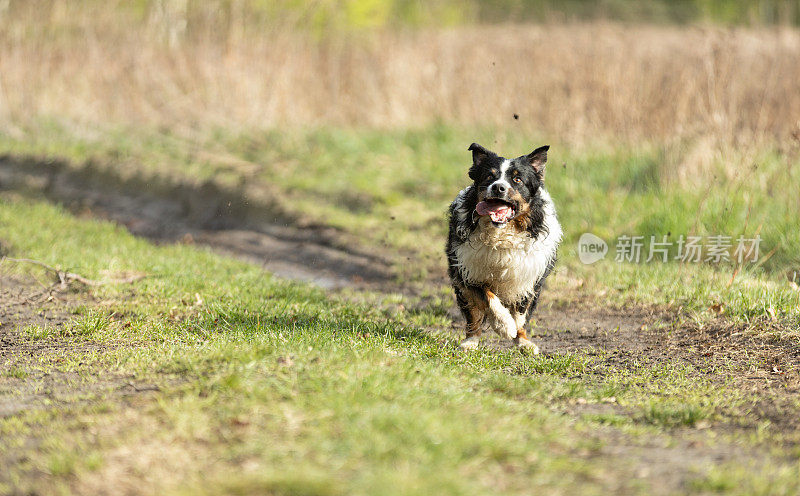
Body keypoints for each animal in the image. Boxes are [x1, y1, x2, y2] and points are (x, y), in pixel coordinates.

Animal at [444, 143, 564, 352]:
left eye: (517, 179)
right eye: (489, 177)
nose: (498, 187)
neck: (501, 234)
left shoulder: (530, 277)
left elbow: (522, 314)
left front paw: (521, 340)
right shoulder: (467, 271)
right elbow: (488, 297)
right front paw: (504, 325)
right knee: (473, 317)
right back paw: (471, 341)